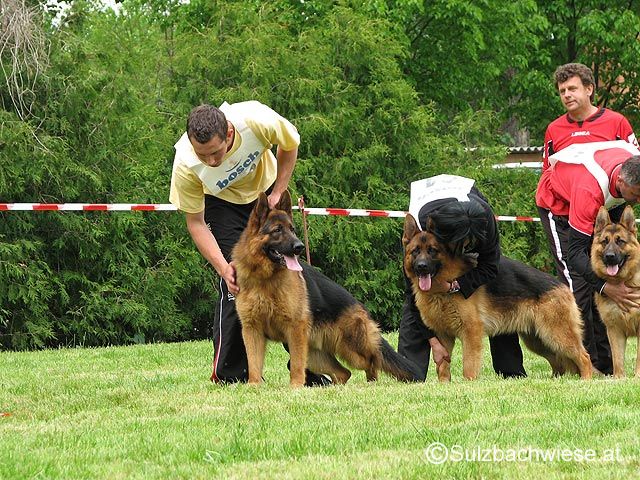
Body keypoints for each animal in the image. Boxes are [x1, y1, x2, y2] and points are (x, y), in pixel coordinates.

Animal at [231, 190, 420, 387]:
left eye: (292, 229)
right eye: (277, 230)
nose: (299, 247)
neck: (265, 279)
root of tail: (361, 308)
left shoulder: (295, 329)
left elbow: (296, 366)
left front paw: (295, 387)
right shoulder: (252, 330)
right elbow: (253, 364)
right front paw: (254, 386)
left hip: (349, 349)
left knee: (373, 359)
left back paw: (371, 383)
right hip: (314, 354)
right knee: (344, 373)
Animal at [591, 205, 640, 378]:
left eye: (620, 241)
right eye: (605, 241)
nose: (610, 256)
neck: (623, 280)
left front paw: (637, 376)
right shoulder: (614, 329)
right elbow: (617, 358)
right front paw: (619, 378)